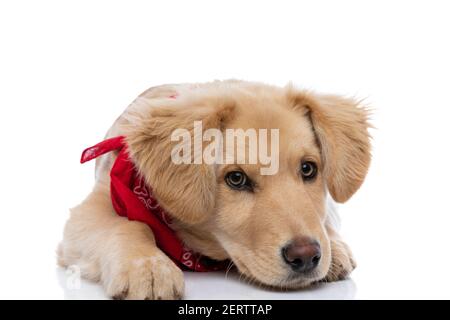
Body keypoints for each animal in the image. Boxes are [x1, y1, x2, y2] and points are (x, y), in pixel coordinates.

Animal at [58, 80, 370, 300]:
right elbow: (126, 226)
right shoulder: (92, 208)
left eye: (308, 169)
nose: (305, 257)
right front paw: (147, 266)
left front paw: (334, 247)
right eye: (236, 179)